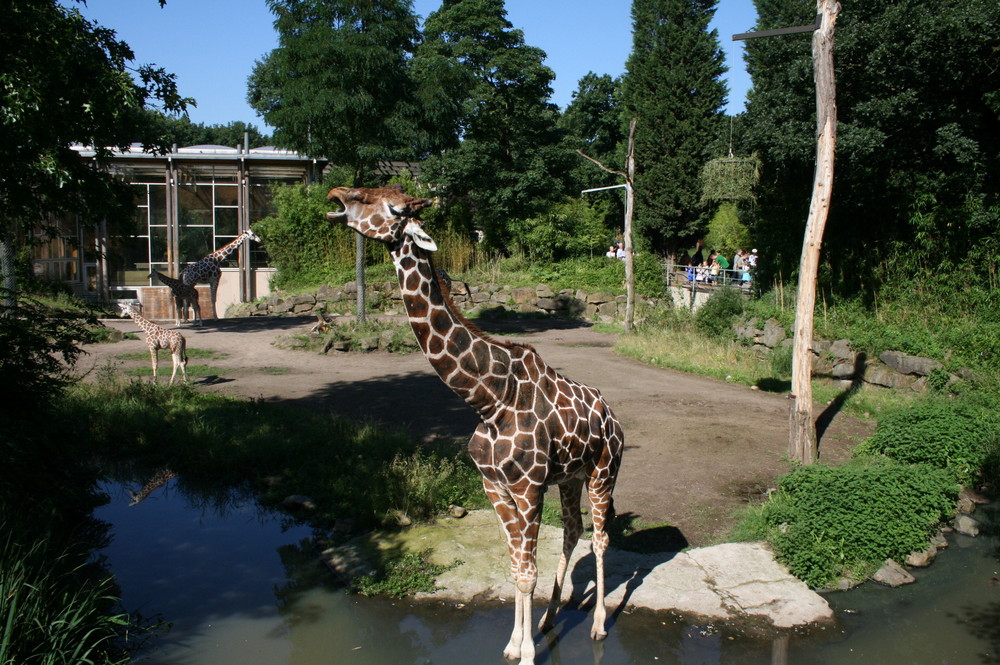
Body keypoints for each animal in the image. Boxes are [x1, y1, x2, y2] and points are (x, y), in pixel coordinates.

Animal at [328, 185, 624, 664]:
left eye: (392, 207)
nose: (337, 195)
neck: (488, 401)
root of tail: (614, 417)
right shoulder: (494, 485)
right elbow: (514, 566)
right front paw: (514, 644)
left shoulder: (528, 487)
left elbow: (527, 572)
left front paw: (527, 654)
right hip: (570, 477)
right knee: (573, 531)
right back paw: (550, 618)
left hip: (604, 471)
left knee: (600, 538)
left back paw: (597, 626)